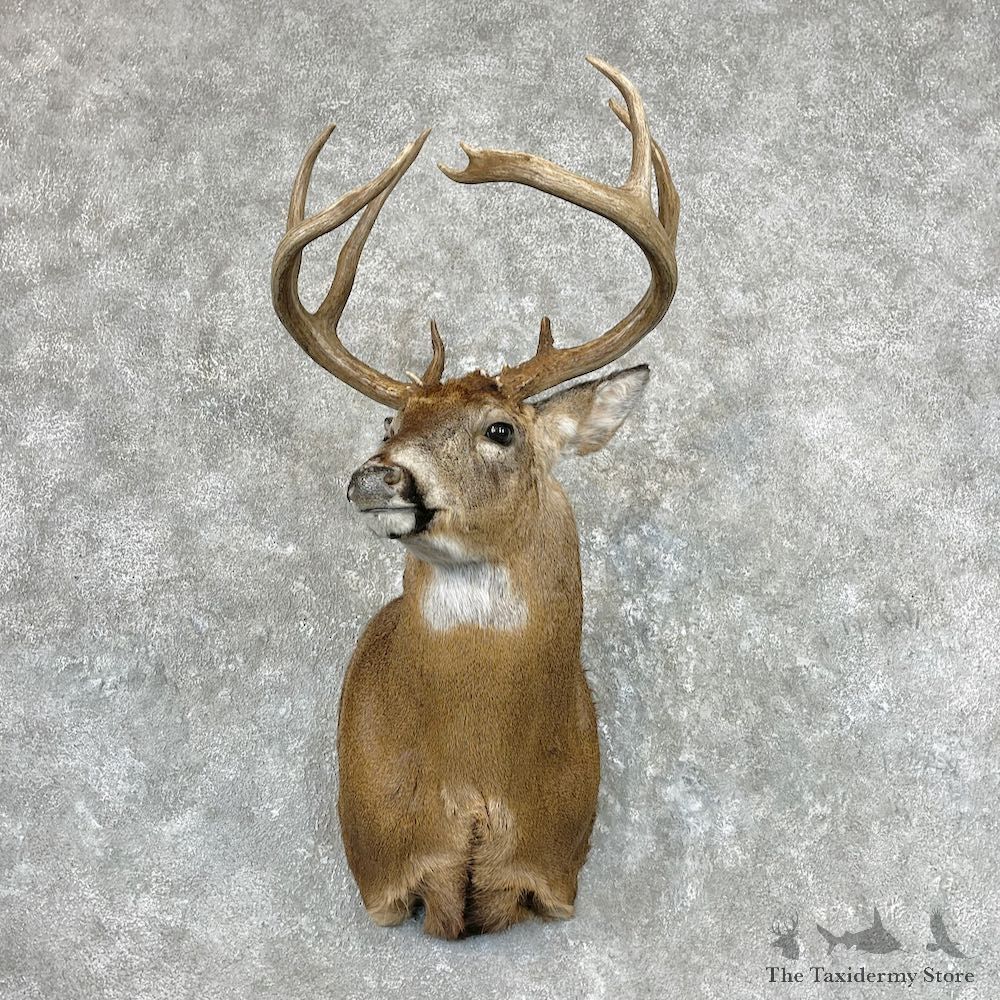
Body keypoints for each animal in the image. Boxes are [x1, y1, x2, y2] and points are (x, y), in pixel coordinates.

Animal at [271, 56, 679, 940]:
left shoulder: (553, 877)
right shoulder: (383, 879)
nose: (378, 475)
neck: (478, 785)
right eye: (391, 420)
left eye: (501, 430)